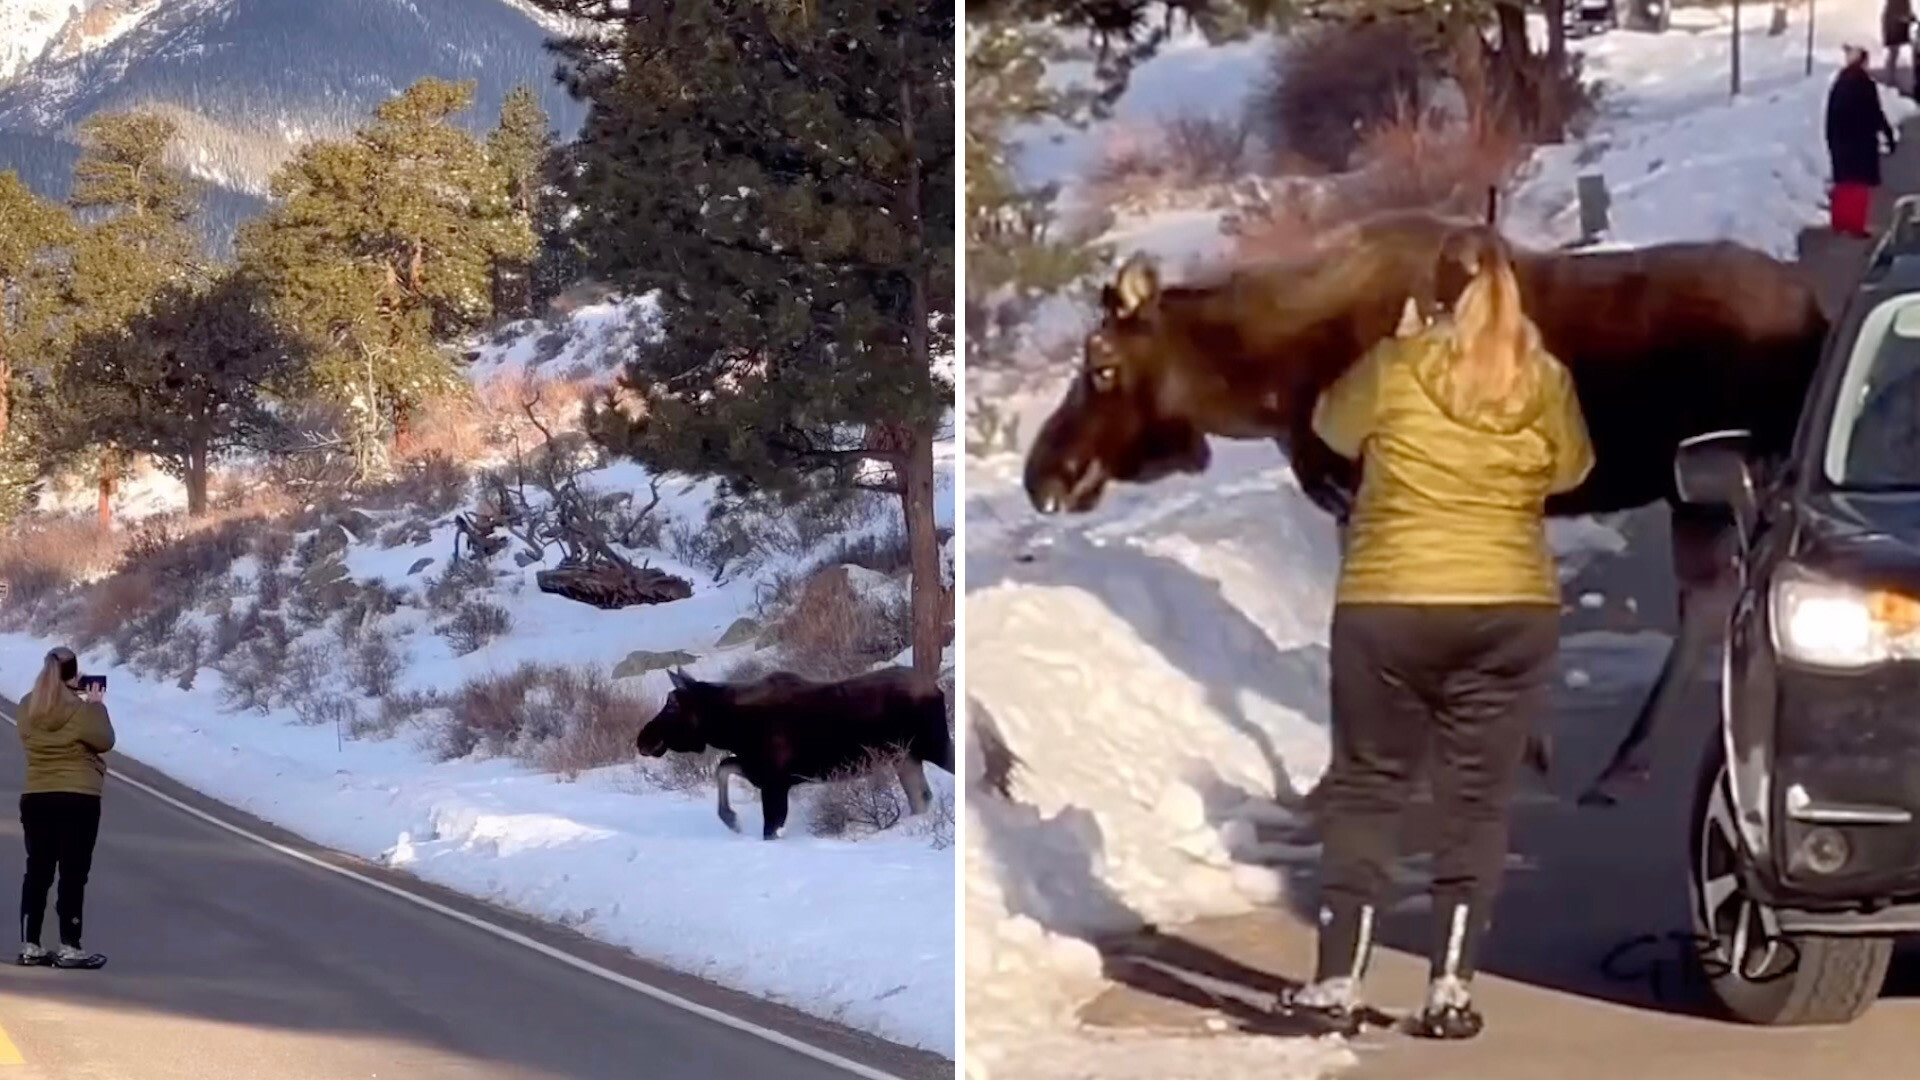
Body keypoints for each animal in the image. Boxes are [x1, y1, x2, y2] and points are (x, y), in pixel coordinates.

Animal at [633, 664, 956, 834]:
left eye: (672, 705)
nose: (642, 739)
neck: (731, 729)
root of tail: (937, 686)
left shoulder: (775, 782)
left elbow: (771, 828)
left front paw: (732, 819)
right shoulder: (758, 770)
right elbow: (722, 768)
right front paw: (731, 818)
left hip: (934, 745)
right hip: (906, 758)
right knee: (921, 798)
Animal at [1029, 208, 1820, 799]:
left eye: (1101, 366)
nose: (1043, 476)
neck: (1274, 385)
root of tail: (1814, 308)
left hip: (1712, 477)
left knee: (1717, 597)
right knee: (1710, 598)